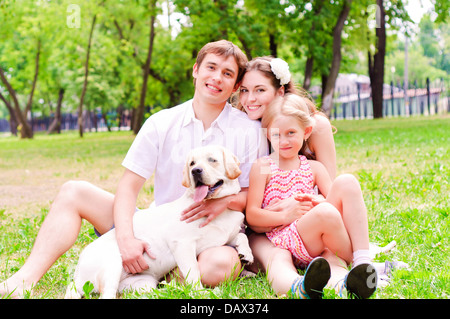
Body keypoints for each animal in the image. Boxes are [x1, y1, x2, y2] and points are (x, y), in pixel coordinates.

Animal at [64, 146, 253, 300]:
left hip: (144, 283)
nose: (196, 171)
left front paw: (247, 254)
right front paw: (200, 293)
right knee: (107, 294)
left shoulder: (226, 236)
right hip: (113, 263)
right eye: (192, 163)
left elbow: (242, 237)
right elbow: (193, 271)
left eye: (212, 160)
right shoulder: (181, 244)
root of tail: (77, 276)